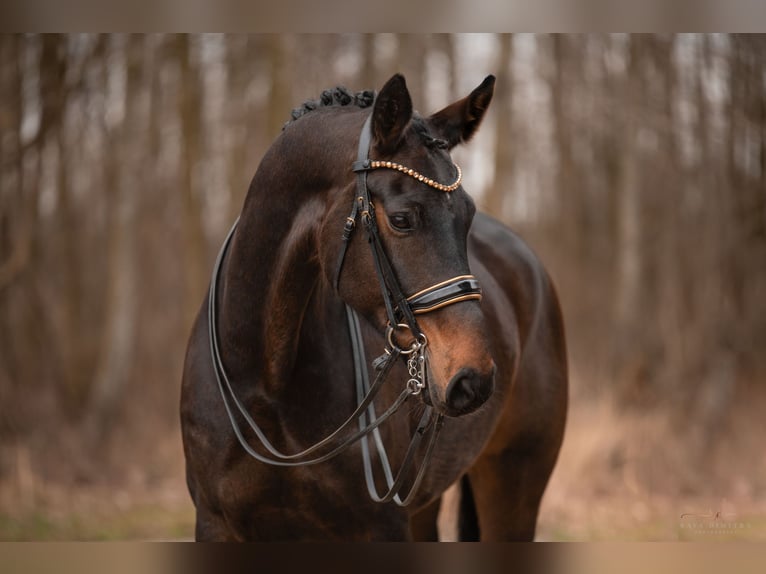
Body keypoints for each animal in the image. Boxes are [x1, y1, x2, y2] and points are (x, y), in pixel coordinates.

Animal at [177, 74, 568, 544]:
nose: (473, 379)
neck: (263, 383)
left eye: (468, 215)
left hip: (513, 485)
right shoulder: (215, 523)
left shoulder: (379, 527)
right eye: (401, 219)